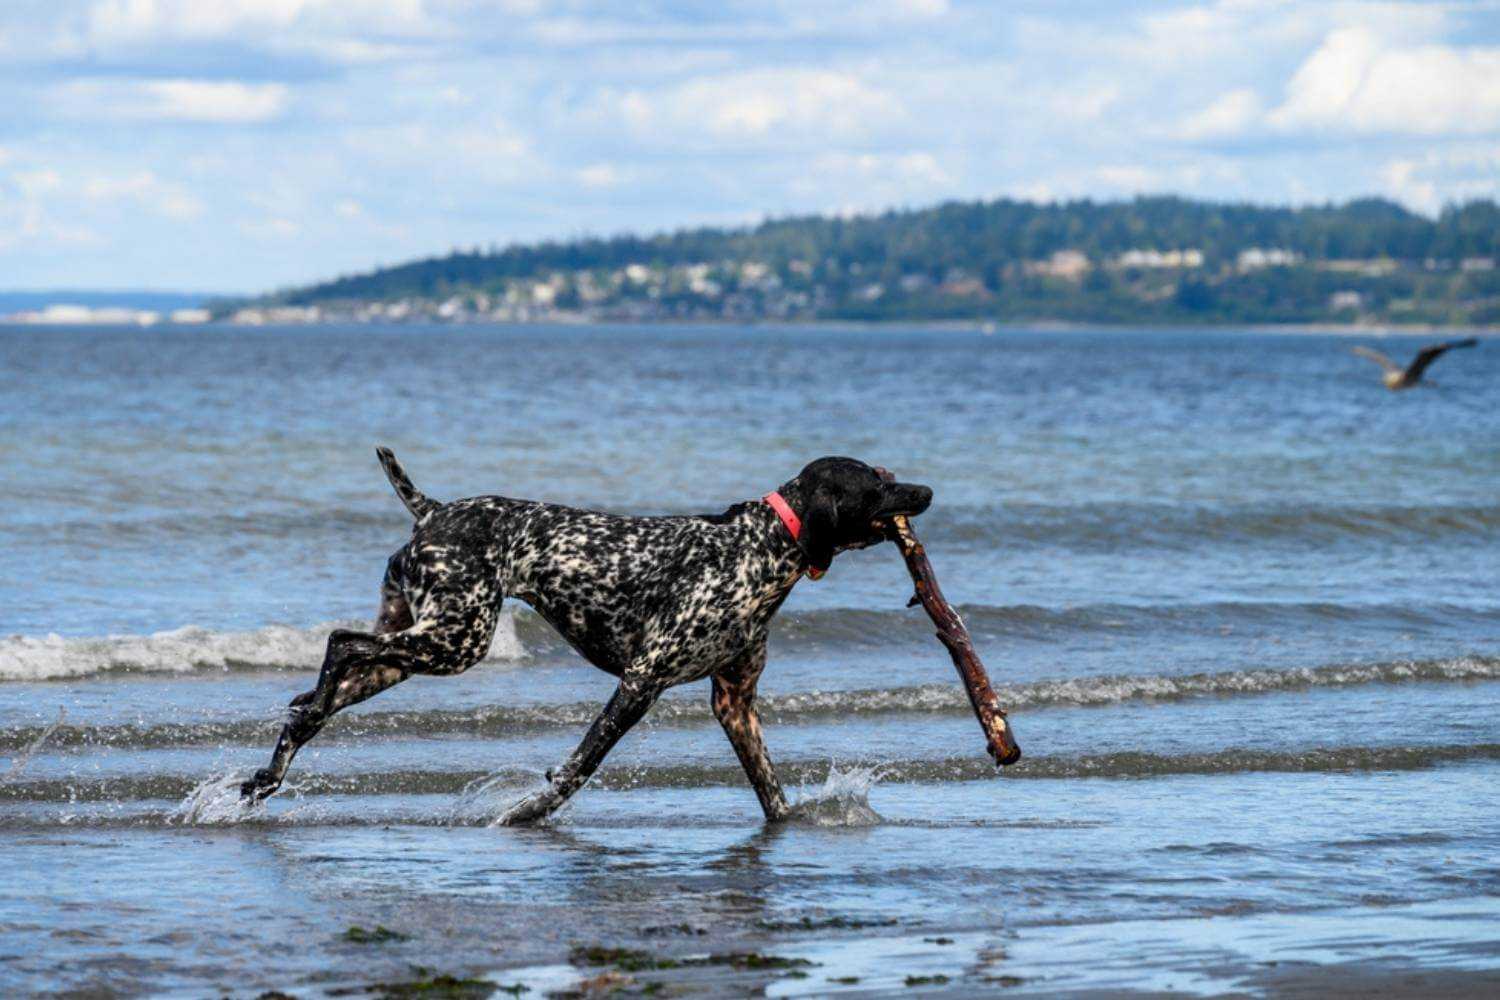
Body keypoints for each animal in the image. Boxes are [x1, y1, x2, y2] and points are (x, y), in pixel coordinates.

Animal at [240, 452, 930, 821]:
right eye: (877, 483)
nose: (924, 490)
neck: (759, 546)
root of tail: (434, 512)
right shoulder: (642, 681)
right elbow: (580, 766)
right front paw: (531, 811)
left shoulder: (734, 702)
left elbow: (771, 791)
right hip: (454, 639)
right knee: (339, 643)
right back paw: (302, 717)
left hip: (418, 646)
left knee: (322, 693)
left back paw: (277, 762)